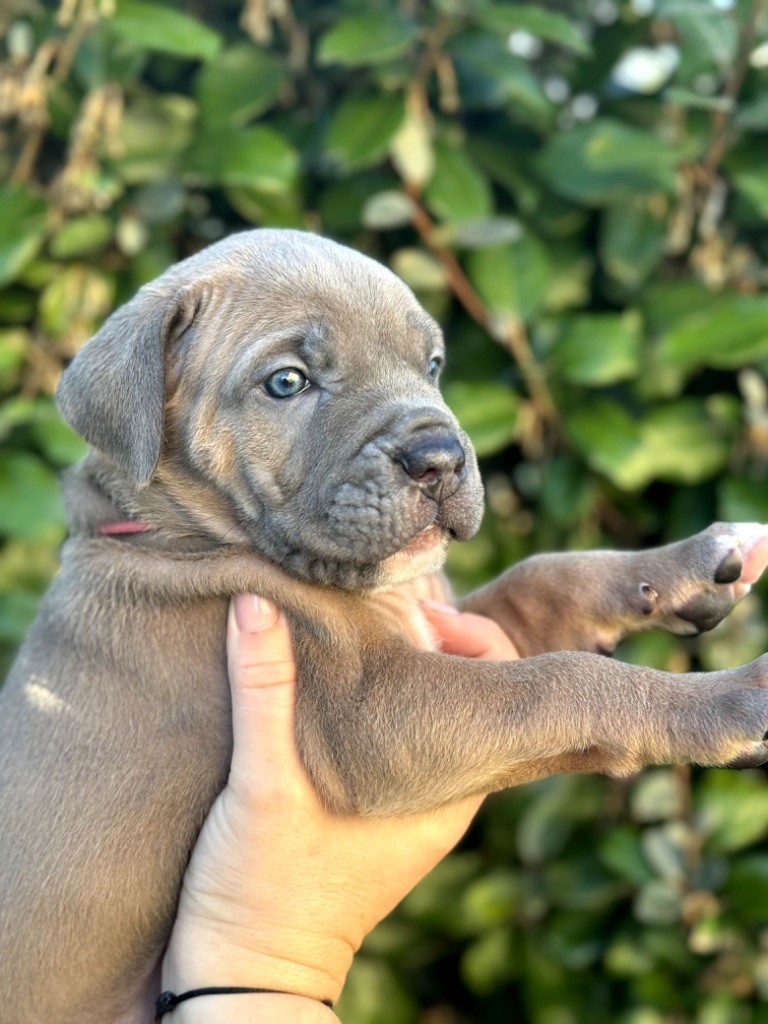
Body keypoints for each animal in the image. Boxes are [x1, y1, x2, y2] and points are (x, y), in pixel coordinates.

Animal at [1, 232, 768, 1024]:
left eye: (431, 365)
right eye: (287, 382)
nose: (441, 457)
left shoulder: (445, 622)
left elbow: (545, 577)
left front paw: (690, 562)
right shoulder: (373, 715)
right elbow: (556, 681)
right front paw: (727, 700)